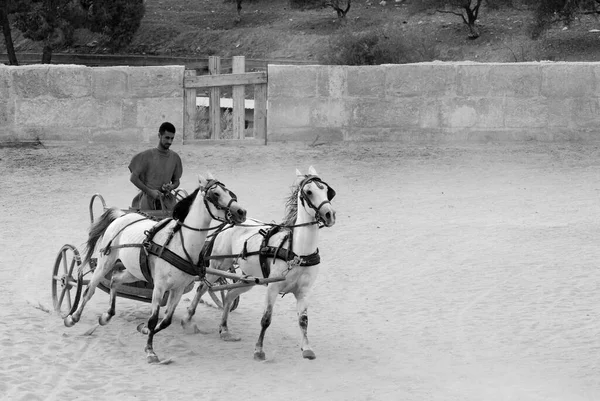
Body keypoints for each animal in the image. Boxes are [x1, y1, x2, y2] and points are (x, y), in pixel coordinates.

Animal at [62, 173, 246, 362]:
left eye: (229, 191)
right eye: (215, 194)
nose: (241, 212)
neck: (181, 244)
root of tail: (121, 216)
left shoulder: (178, 289)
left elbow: (165, 321)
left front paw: (144, 331)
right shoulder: (159, 287)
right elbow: (153, 319)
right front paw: (150, 350)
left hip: (135, 272)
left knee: (115, 280)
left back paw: (106, 316)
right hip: (105, 262)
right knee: (89, 289)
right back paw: (73, 317)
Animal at [180, 166, 336, 360]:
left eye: (326, 190)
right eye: (309, 192)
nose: (329, 214)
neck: (298, 252)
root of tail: (228, 224)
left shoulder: (304, 291)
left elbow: (303, 321)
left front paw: (307, 348)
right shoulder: (272, 288)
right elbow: (266, 319)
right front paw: (259, 349)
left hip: (248, 279)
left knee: (229, 295)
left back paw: (224, 329)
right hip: (218, 265)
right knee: (202, 288)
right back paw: (187, 318)